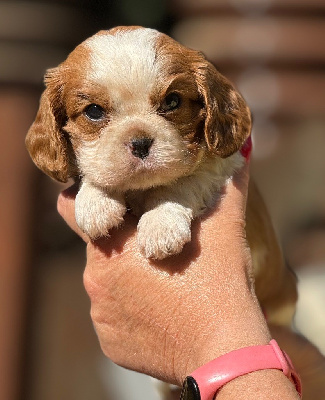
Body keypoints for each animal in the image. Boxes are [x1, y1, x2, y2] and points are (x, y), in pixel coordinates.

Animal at [26, 24, 296, 324]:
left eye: (172, 101)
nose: (141, 143)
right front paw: (96, 202)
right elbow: (97, 171)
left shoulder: (223, 165)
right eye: (94, 111)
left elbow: (184, 182)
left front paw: (160, 224)